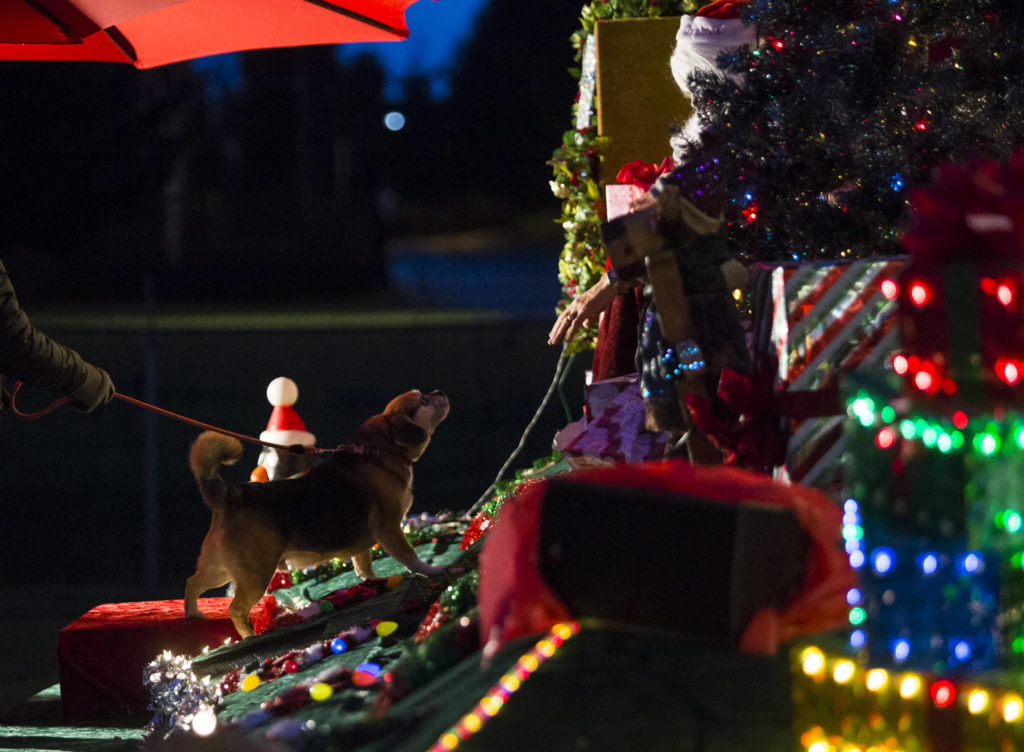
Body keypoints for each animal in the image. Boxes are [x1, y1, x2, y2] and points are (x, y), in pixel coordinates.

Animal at [183, 389, 452, 643]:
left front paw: (373, 580)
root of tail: (230, 495)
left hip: (221, 569)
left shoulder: (366, 543)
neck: (378, 451)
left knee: (192, 582)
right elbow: (409, 556)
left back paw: (192, 614)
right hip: (255, 573)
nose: (439, 392)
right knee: (236, 609)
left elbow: (364, 565)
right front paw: (430, 570)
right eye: (423, 401)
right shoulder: (389, 529)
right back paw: (249, 635)